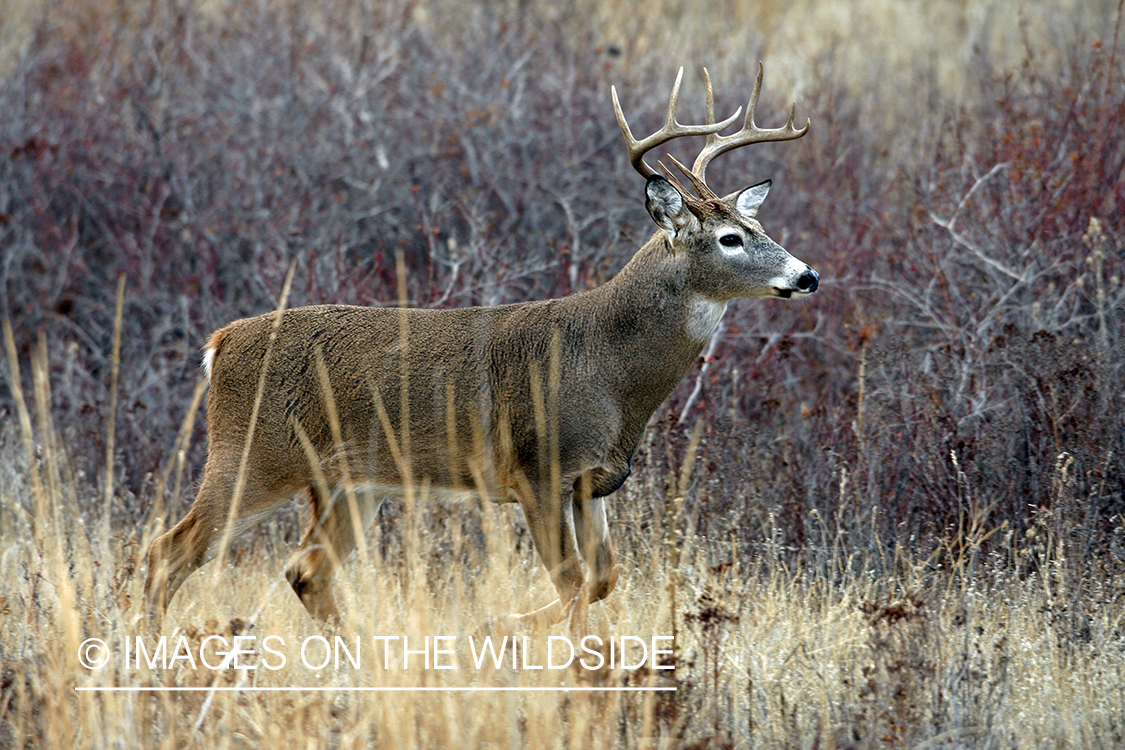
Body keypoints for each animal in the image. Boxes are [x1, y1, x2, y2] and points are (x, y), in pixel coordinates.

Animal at [147, 66, 819, 634]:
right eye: (730, 239)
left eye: (760, 227)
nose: (807, 275)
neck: (610, 369)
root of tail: (219, 343)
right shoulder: (536, 467)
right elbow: (574, 582)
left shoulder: (593, 481)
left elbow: (602, 579)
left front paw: (500, 628)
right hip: (254, 455)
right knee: (168, 552)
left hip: (352, 483)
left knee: (304, 571)